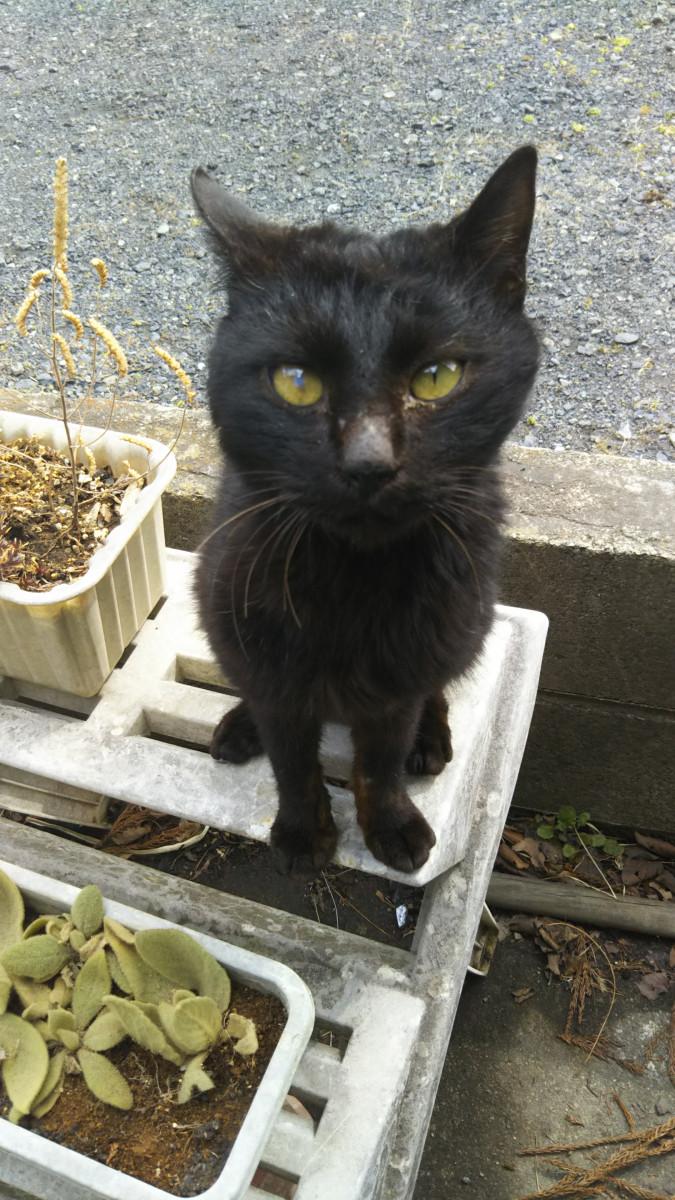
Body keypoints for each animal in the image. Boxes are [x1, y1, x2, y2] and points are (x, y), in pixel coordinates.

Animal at [191, 146, 539, 875]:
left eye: (436, 377)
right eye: (297, 382)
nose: (368, 464)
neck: (352, 582)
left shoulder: (401, 678)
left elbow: (378, 760)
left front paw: (391, 825)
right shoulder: (267, 660)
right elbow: (291, 758)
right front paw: (301, 832)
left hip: (467, 619)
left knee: (436, 688)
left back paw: (430, 740)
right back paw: (238, 725)